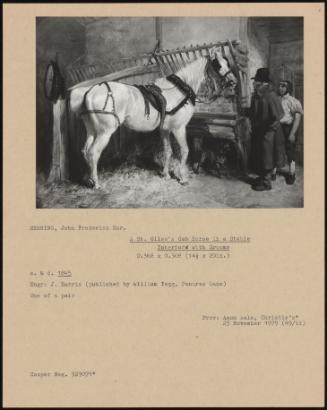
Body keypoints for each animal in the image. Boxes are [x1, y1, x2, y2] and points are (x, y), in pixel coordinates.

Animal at [70, 48, 237, 189]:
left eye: (227, 62)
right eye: (217, 64)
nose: (233, 81)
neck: (180, 89)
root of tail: (90, 91)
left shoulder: (165, 129)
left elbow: (168, 151)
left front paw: (166, 175)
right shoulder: (179, 128)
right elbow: (184, 151)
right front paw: (182, 178)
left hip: (92, 130)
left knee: (85, 150)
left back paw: (88, 180)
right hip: (105, 132)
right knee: (93, 152)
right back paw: (96, 183)